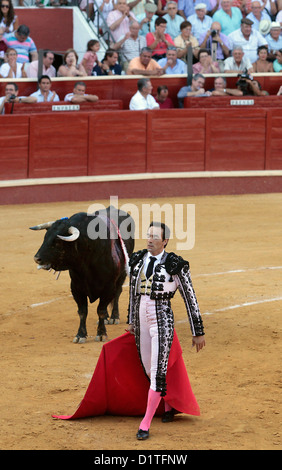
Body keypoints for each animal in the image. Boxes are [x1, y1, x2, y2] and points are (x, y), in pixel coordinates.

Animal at [31, 207, 135, 344]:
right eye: (45, 237)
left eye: (58, 242)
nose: (37, 258)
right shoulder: (76, 288)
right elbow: (82, 311)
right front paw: (80, 335)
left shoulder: (108, 287)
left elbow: (100, 310)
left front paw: (101, 334)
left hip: (121, 275)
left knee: (117, 293)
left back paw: (113, 317)